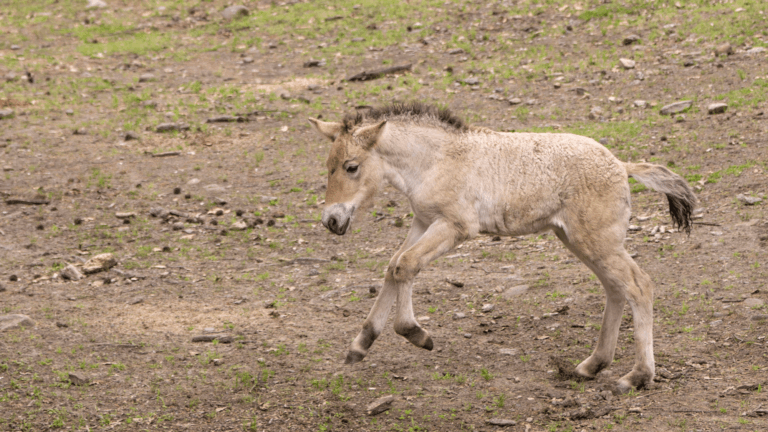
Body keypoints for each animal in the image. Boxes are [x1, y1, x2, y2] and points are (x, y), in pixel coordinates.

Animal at [308, 102, 696, 393]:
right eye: (327, 167)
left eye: (351, 167)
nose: (332, 220)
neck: (436, 160)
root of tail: (621, 165)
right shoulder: (422, 221)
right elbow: (394, 266)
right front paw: (360, 345)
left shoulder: (455, 226)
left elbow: (406, 265)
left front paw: (417, 334)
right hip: (579, 240)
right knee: (616, 289)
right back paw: (591, 365)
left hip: (596, 241)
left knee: (639, 285)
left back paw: (636, 377)